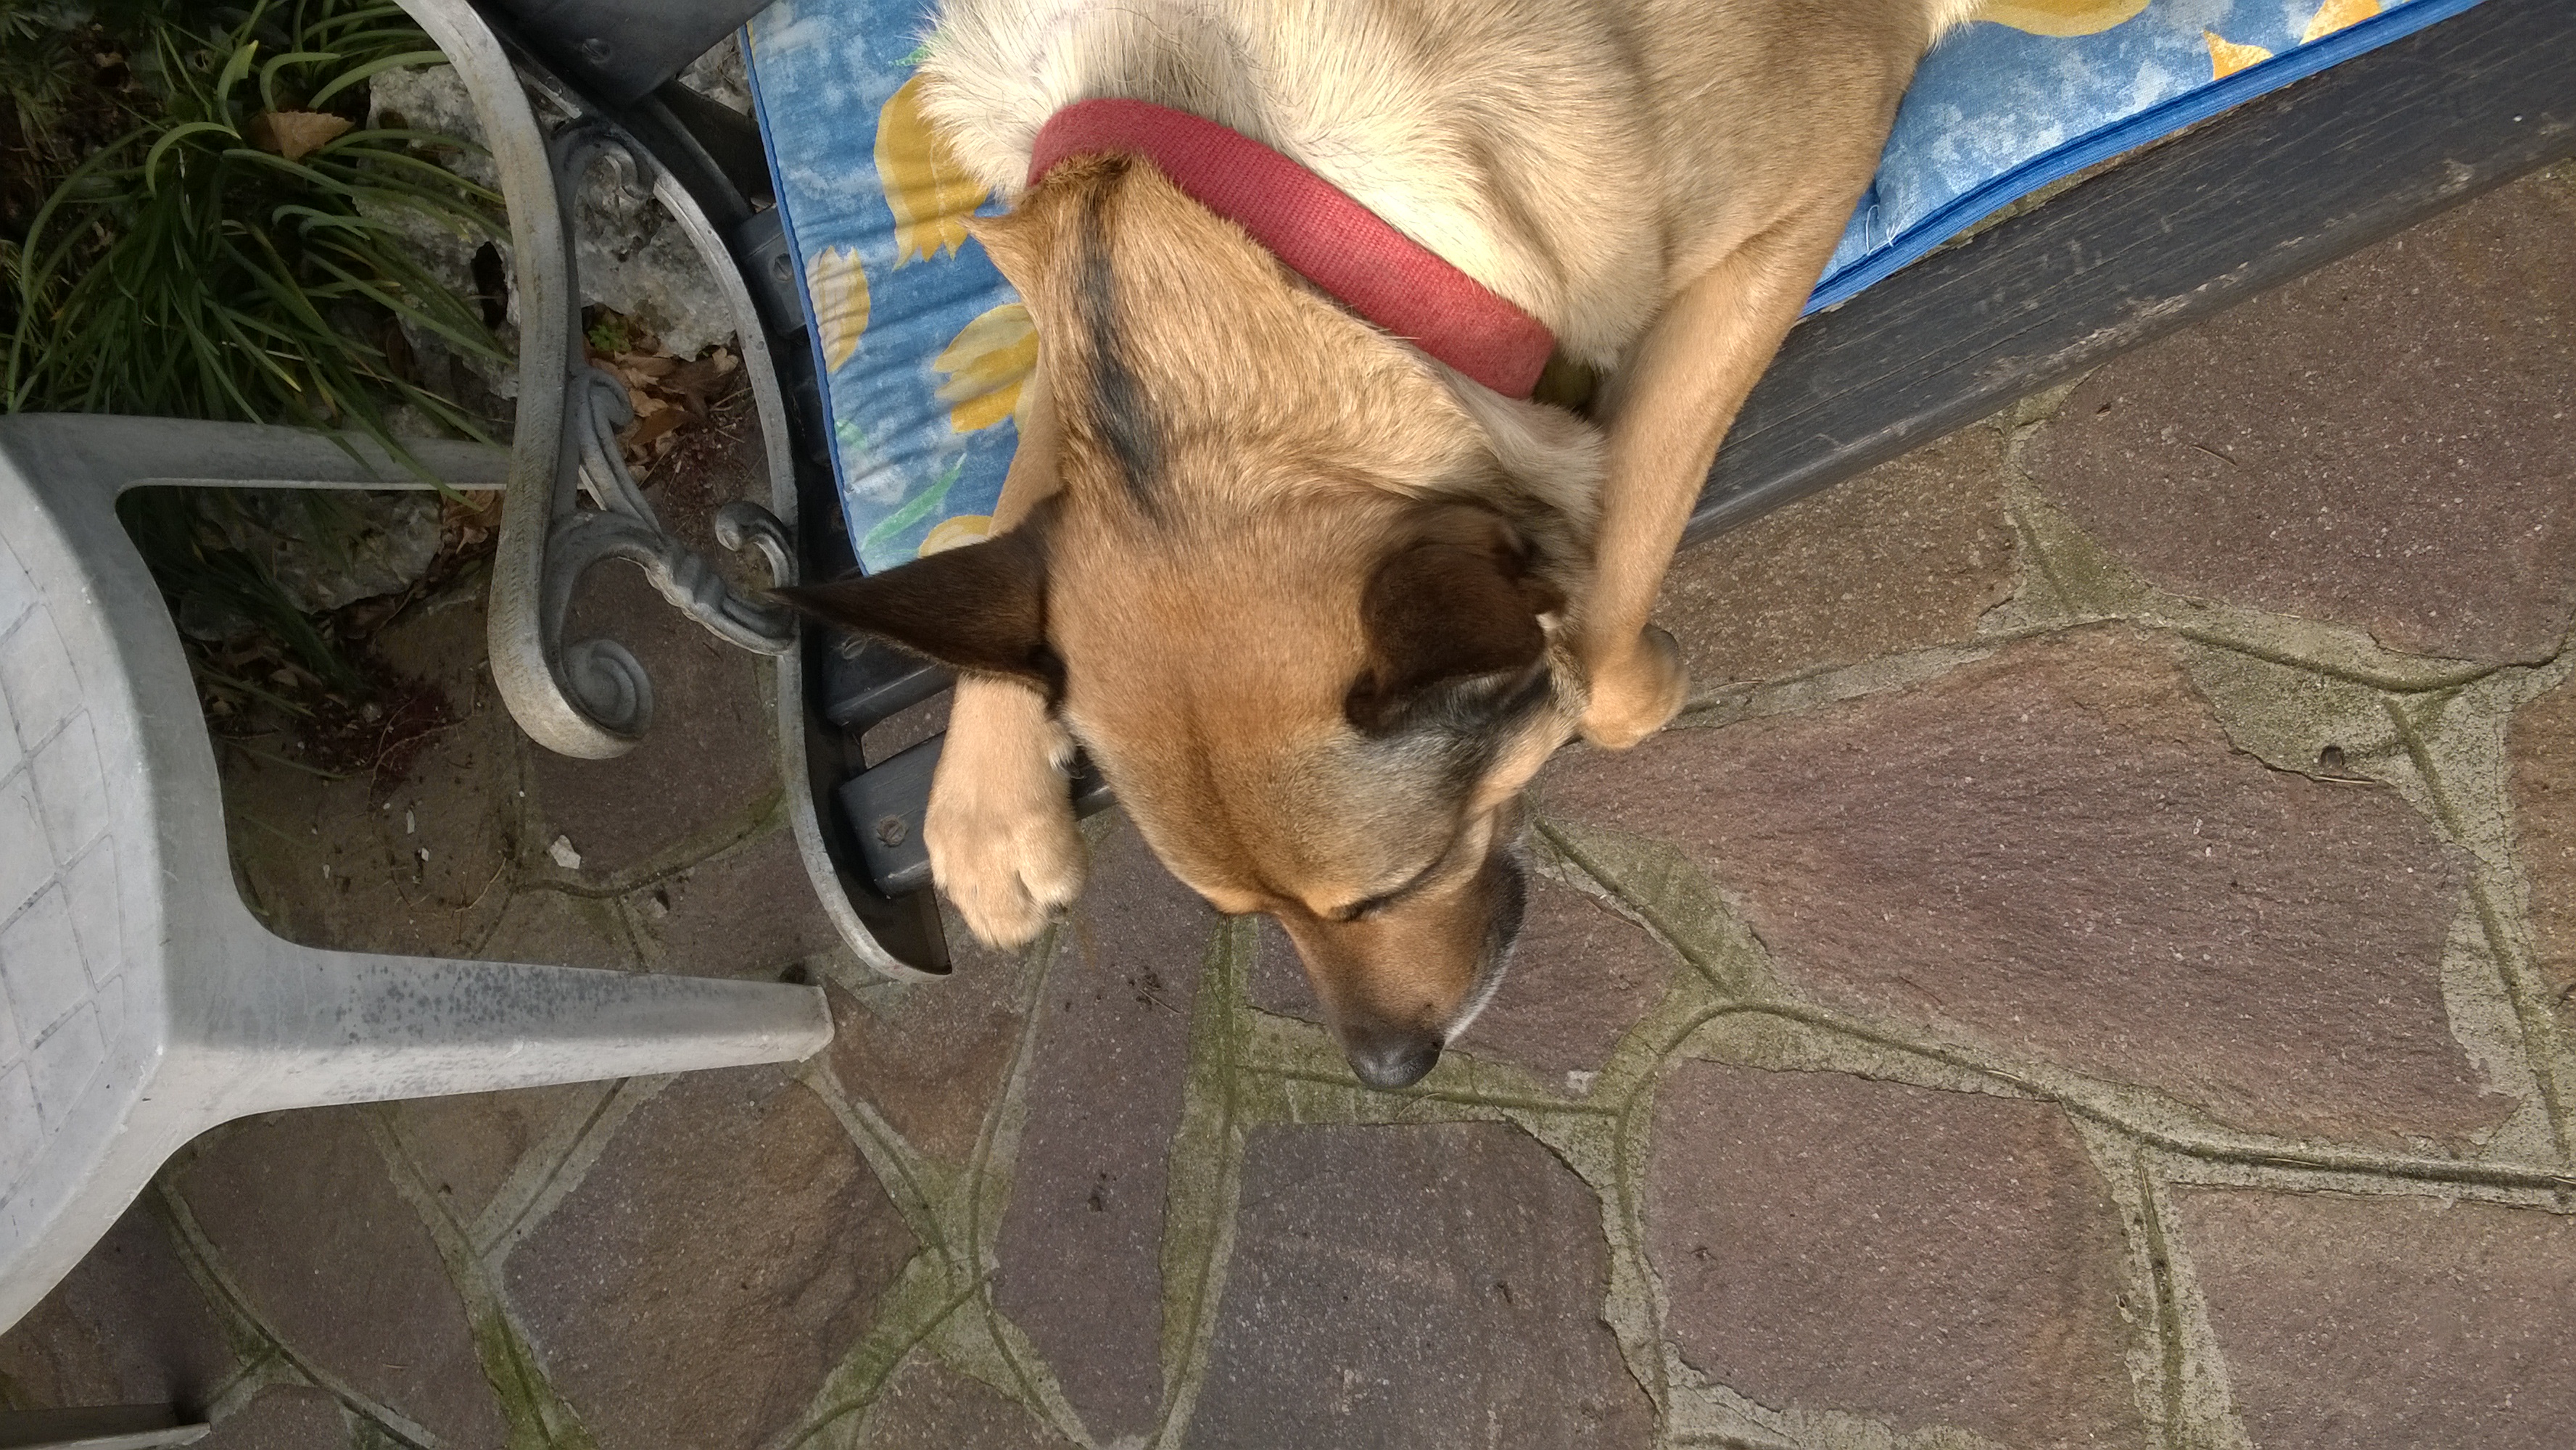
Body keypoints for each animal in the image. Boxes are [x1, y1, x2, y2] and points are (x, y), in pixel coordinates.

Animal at [787, 0, 1982, 1087]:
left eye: (1398, 886)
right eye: (1243, 912)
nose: (1387, 1072)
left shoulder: (1798, 200)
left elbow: (1606, 616)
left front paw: (1628, 681)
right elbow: (1024, 474)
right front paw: (985, 810)